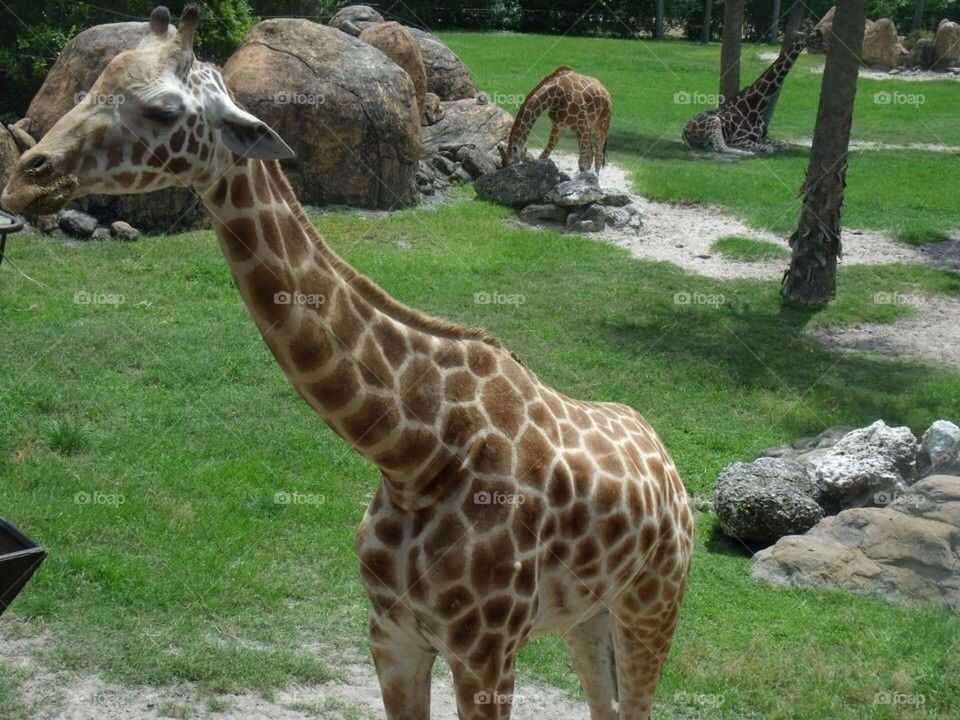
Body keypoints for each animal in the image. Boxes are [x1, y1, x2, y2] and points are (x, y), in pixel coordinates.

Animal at [1, 8, 692, 720]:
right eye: (91, 84)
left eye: (163, 110)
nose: (27, 176)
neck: (415, 453)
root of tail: (666, 460)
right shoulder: (391, 634)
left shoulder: (486, 649)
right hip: (587, 614)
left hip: (653, 602)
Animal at [682, 29, 817, 156]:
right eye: (811, 34)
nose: (819, 42)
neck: (756, 107)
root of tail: (685, 130)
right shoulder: (740, 138)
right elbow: (769, 148)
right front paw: (755, 149)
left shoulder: (760, 137)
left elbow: (784, 144)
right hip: (714, 121)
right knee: (720, 147)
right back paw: (747, 152)